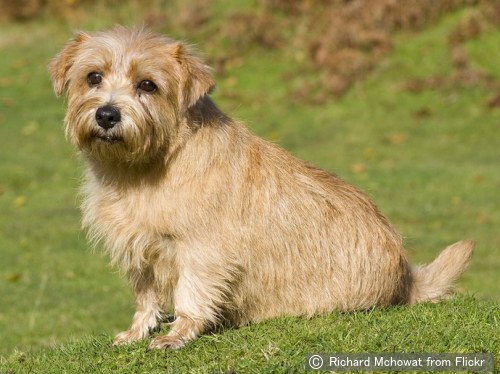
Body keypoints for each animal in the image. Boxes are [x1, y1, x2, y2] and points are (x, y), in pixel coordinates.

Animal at [48, 27, 474, 350]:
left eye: (148, 85)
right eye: (93, 76)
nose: (107, 114)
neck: (143, 167)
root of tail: (405, 279)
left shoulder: (202, 249)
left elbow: (191, 293)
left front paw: (177, 334)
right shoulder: (139, 246)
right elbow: (146, 296)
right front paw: (136, 331)